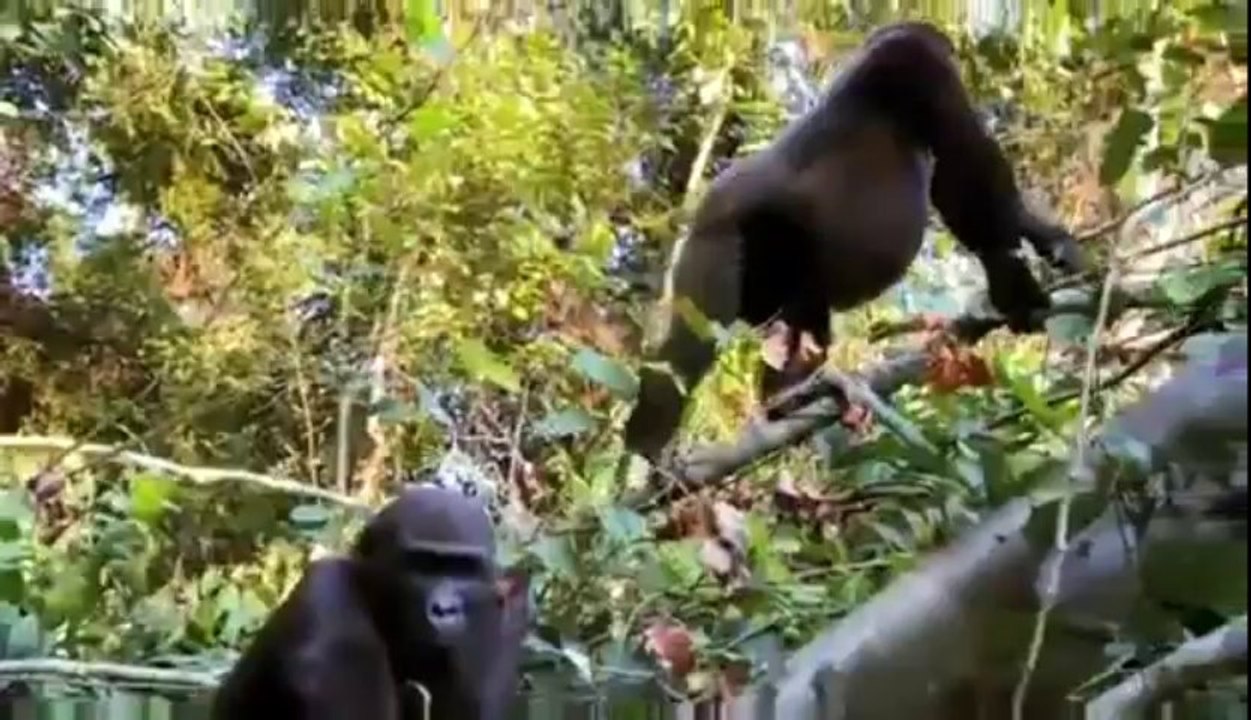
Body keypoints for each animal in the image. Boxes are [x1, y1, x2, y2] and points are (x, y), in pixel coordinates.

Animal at [623, 21, 1084, 462]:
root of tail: (702, 221)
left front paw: (1047, 243)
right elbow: (966, 178)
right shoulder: (918, 67)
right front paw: (1014, 278)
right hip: (738, 246)